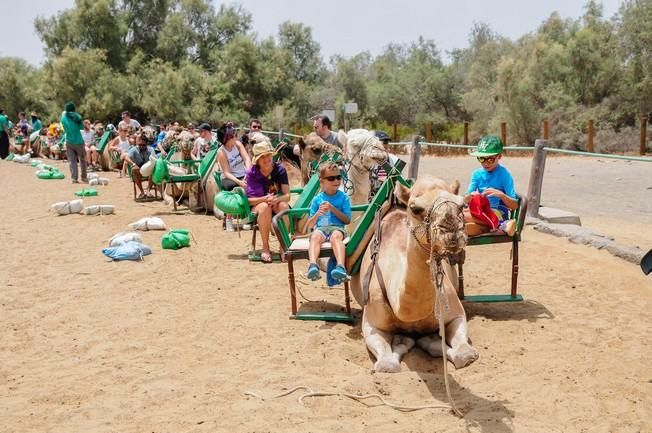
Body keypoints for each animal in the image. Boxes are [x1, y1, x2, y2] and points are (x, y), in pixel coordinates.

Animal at [352, 175, 478, 372]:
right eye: (415, 208)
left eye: (462, 205)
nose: (451, 231)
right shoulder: (371, 325)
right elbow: (387, 364)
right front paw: (402, 342)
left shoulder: (455, 314)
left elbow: (465, 354)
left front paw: (430, 341)